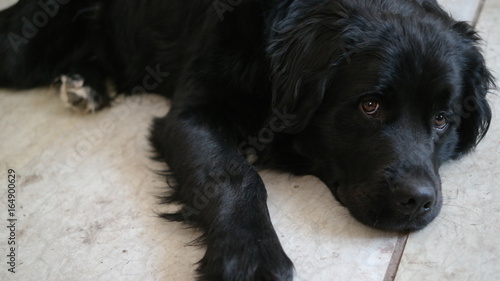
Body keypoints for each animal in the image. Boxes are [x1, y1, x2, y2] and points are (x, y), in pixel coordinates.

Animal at [0, 0, 492, 278]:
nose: (418, 200)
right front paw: (250, 257)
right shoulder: (191, 115)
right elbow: (234, 176)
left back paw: (85, 83)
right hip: (25, 46)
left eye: (442, 120)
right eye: (369, 106)